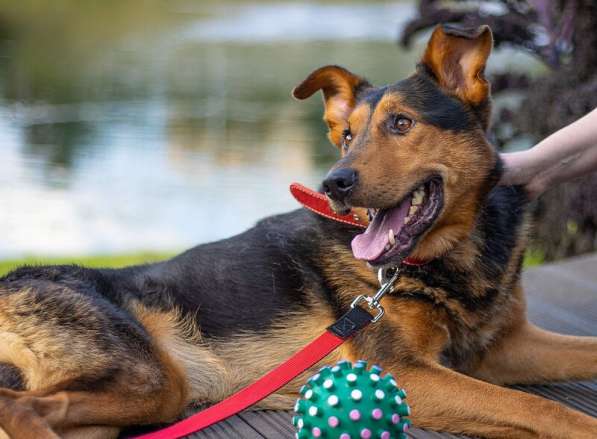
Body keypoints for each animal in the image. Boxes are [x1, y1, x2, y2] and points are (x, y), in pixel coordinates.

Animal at [1, 24, 596, 439]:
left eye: (402, 123)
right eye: (348, 135)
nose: (333, 182)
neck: (455, 253)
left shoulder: (504, 349)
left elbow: (580, 353)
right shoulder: (401, 369)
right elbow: (540, 407)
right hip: (149, 377)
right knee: (23, 410)